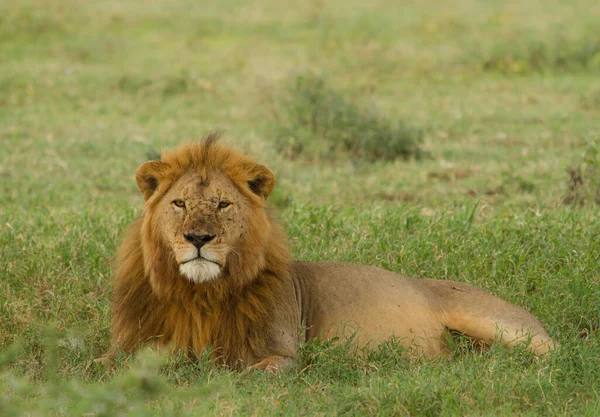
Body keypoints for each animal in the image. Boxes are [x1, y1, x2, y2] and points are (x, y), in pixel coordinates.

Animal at [105, 132, 556, 370]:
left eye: (223, 204)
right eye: (179, 204)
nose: (198, 238)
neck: (199, 293)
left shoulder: (283, 354)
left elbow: (245, 372)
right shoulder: (128, 345)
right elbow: (109, 367)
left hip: (501, 324)